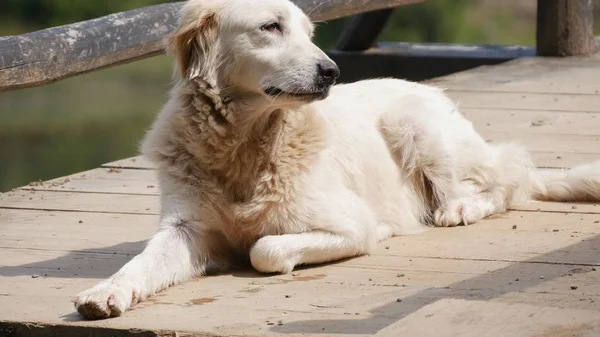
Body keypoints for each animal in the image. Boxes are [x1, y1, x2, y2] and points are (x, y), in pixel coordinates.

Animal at [71, 0, 600, 318]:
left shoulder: (347, 223)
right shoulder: (185, 228)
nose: (331, 71)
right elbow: (140, 263)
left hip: (415, 121)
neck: (245, 143)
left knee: (510, 175)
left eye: (309, 31)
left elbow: (265, 249)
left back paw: (461, 207)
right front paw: (105, 291)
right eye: (270, 27)